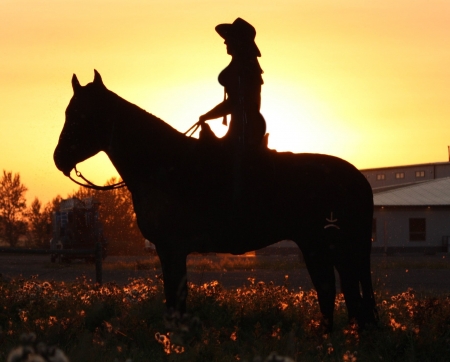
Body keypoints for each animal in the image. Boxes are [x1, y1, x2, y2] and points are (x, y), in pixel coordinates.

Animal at [52, 70, 378, 330]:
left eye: (80, 114)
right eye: (67, 112)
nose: (58, 158)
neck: (162, 165)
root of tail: (358, 178)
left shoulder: (171, 249)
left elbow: (175, 301)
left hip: (331, 247)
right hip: (319, 247)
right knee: (335, 292)